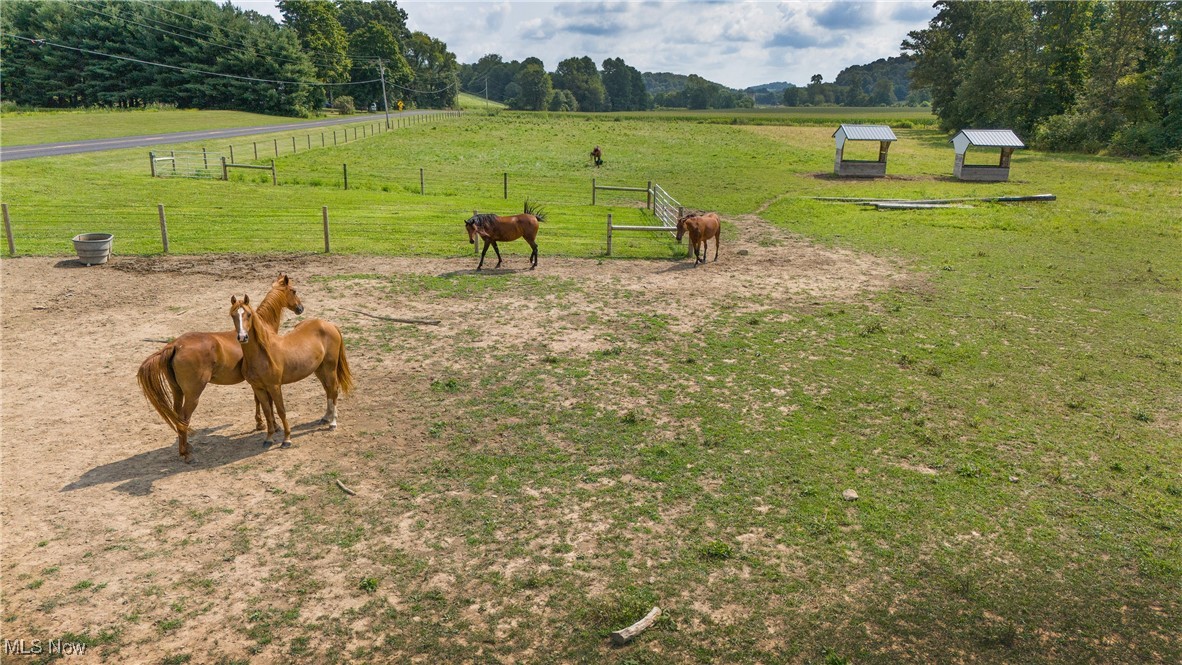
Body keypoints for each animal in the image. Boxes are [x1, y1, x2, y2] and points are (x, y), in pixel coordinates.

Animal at [138, 274, 304, 463]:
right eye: (294, 290)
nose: (300, 308)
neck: (261, 330)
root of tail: (174, 345)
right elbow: (265, 401)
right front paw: (269, 425)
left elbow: (260, 401)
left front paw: (263, 424)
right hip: (193, 394)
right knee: (184, 418)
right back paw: (186, 454)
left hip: (177, 391)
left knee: (178, 418)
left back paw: (185, 448)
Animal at [229, 295, 349, 446]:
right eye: (233, 315)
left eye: (249, 314)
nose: (242, 337)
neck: (261, 354)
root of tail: (329, 325)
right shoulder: (258, 388)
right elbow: (267, 411)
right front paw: (269, 438)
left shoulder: (274, 386)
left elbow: (281, 411)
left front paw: (287, 439)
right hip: (319, 369)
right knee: (328, 390)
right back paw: (326, 417)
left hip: (330, 368)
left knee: (333, 389)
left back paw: (333, 423)